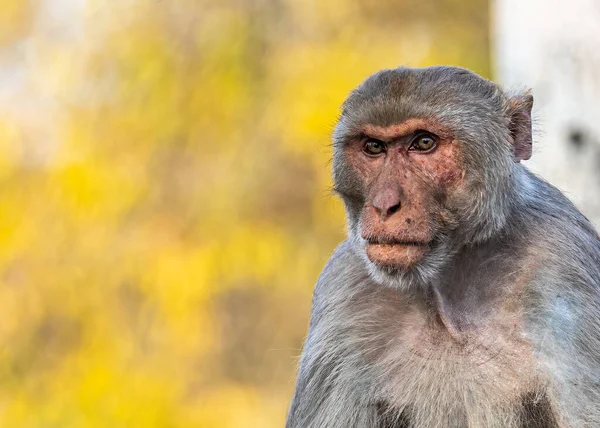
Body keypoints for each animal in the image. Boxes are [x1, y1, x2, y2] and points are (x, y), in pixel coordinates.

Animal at [284, 65, 600, 426]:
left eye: (424, 143)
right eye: (374, 147)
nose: (384, 205)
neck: (448, 288)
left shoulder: (564, 264)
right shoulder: (344, 291)